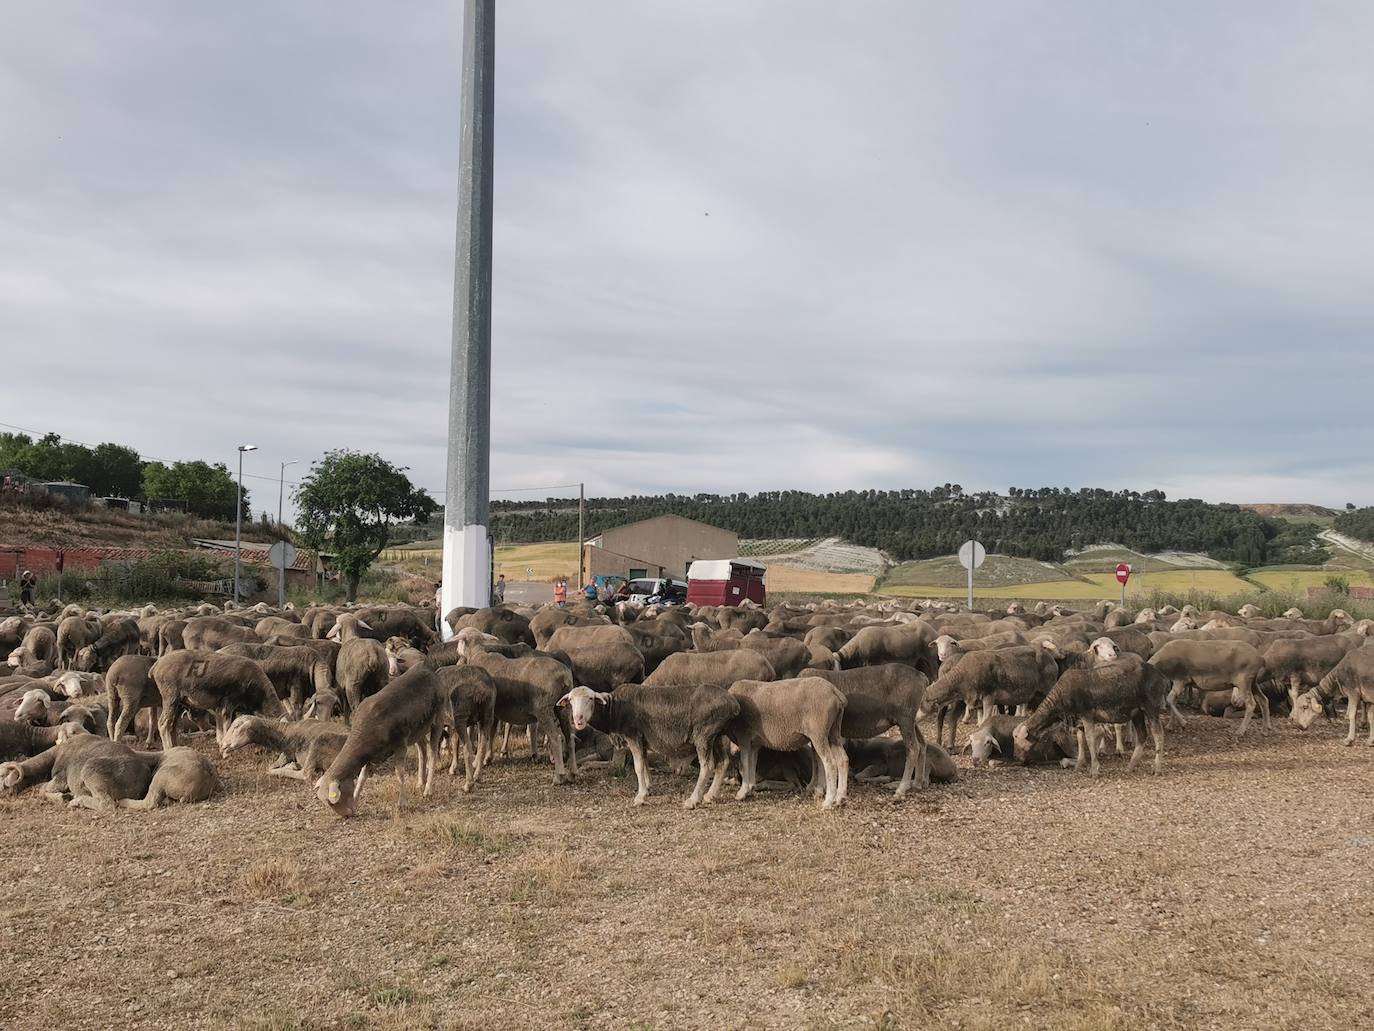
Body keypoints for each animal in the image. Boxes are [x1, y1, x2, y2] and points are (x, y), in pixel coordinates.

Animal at [219, 720, 348, 780]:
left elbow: (270, 767)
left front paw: (291, 766)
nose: (222, 745)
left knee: (306, 775)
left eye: (236, 727)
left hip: (320, 741)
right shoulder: (287, 754)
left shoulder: (288, 752)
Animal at [316, 662, 450, 824]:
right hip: (418, 728)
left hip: (438, 717)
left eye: (332, 802)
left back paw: (428, 789)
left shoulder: (400, 744)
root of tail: (427, 670)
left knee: (432, 752)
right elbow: (362, 778)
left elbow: (399, 773)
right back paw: (420, 782)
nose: (347, 815)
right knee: (422, 750)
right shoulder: (370, 756)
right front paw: (355, 800)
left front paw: (402, 803)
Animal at [557, 681, 741, 813]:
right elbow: (644, 765)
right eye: (571, 701)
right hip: (717, 735)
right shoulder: (643, 740)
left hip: (703, 734)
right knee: (723, 762)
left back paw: (693, 800)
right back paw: (710, 795)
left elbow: (638, 767)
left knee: (707, 765)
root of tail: (733, 704)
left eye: (590, 699)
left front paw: (640, 797)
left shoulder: (633, 736)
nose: (578, 720)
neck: (613, 709)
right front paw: (647, 788)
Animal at [719, 681, 846, 813]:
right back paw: (840, 798)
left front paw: (742, 792)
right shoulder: (754, 744)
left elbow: (745, 763)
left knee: (830, 763)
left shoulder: (744, 737)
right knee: (843, 759)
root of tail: (835, 692)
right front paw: (750, 788)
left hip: (819, 732)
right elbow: (752, 763)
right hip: (833, 731)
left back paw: (828, 801)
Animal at [1011, 654, 1170, 775]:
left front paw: (1094, 769)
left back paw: (1157, 768)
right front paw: (1079, 765)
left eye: (1018, 740)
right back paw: (1130, 767)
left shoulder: (1087, 715)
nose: (1016, 758)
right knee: (1142, 736)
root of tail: (1161, 676)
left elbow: (1090, 740)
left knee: (1158, 735)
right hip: (1136, 712)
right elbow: (1081, 740)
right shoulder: (1078, 720)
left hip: (1151, 707)